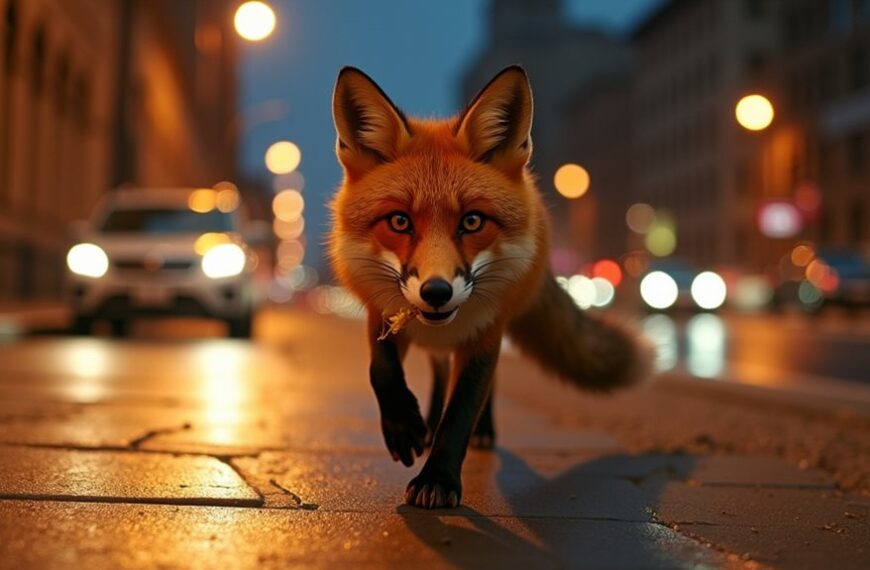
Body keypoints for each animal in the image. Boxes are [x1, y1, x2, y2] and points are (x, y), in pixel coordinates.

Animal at [329, 65, 652, 509]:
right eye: (399, 221)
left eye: (472, 221)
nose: (436, 292)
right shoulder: (382, 312)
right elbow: (380, 369)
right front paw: (404, 426)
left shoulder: (485, 333)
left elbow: (462, 410)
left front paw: (438, 479)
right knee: (438, 369)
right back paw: (426, 420)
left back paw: (479, 431)